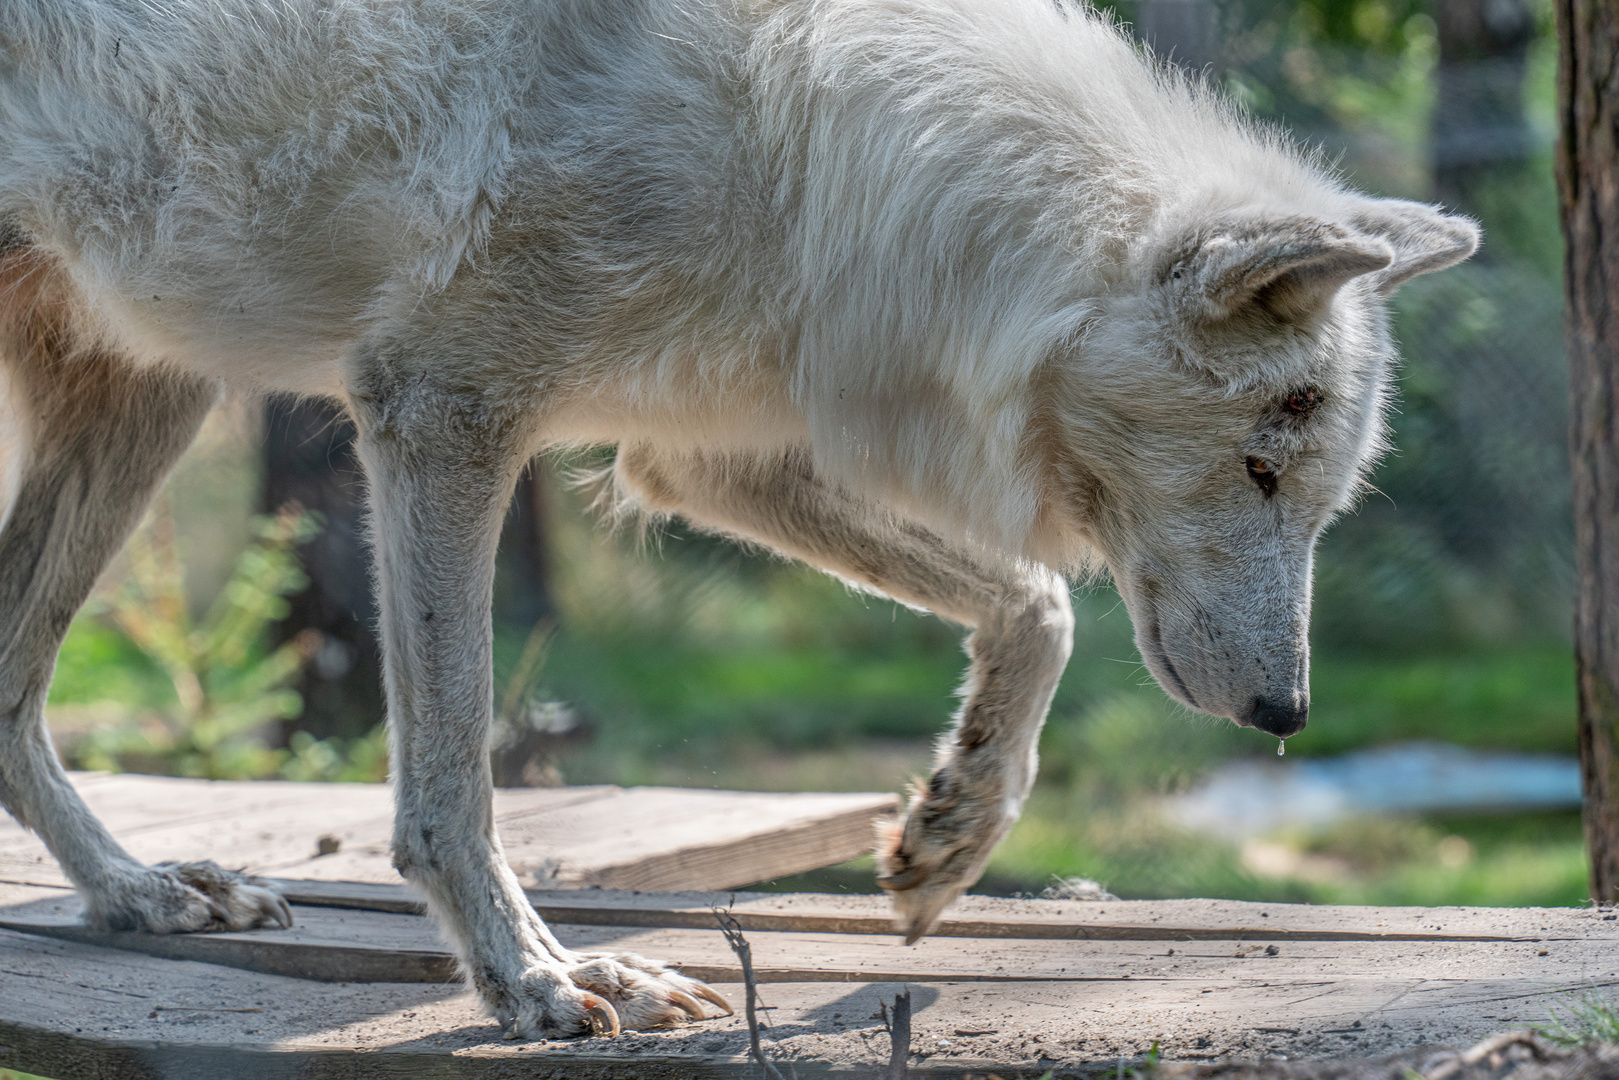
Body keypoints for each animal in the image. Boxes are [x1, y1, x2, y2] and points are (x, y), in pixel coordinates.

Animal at [0, 0, 1476, 1036]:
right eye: (1260, 470)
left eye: (1316, 496)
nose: (1287, 712)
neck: (796, 131)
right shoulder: (440, 414)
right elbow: (449, 784)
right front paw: (540, 982)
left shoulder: (709, 460)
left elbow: (1037, 605)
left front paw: (949, 831)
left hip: (148, 401)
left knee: (10, 685)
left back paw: (135, 894)